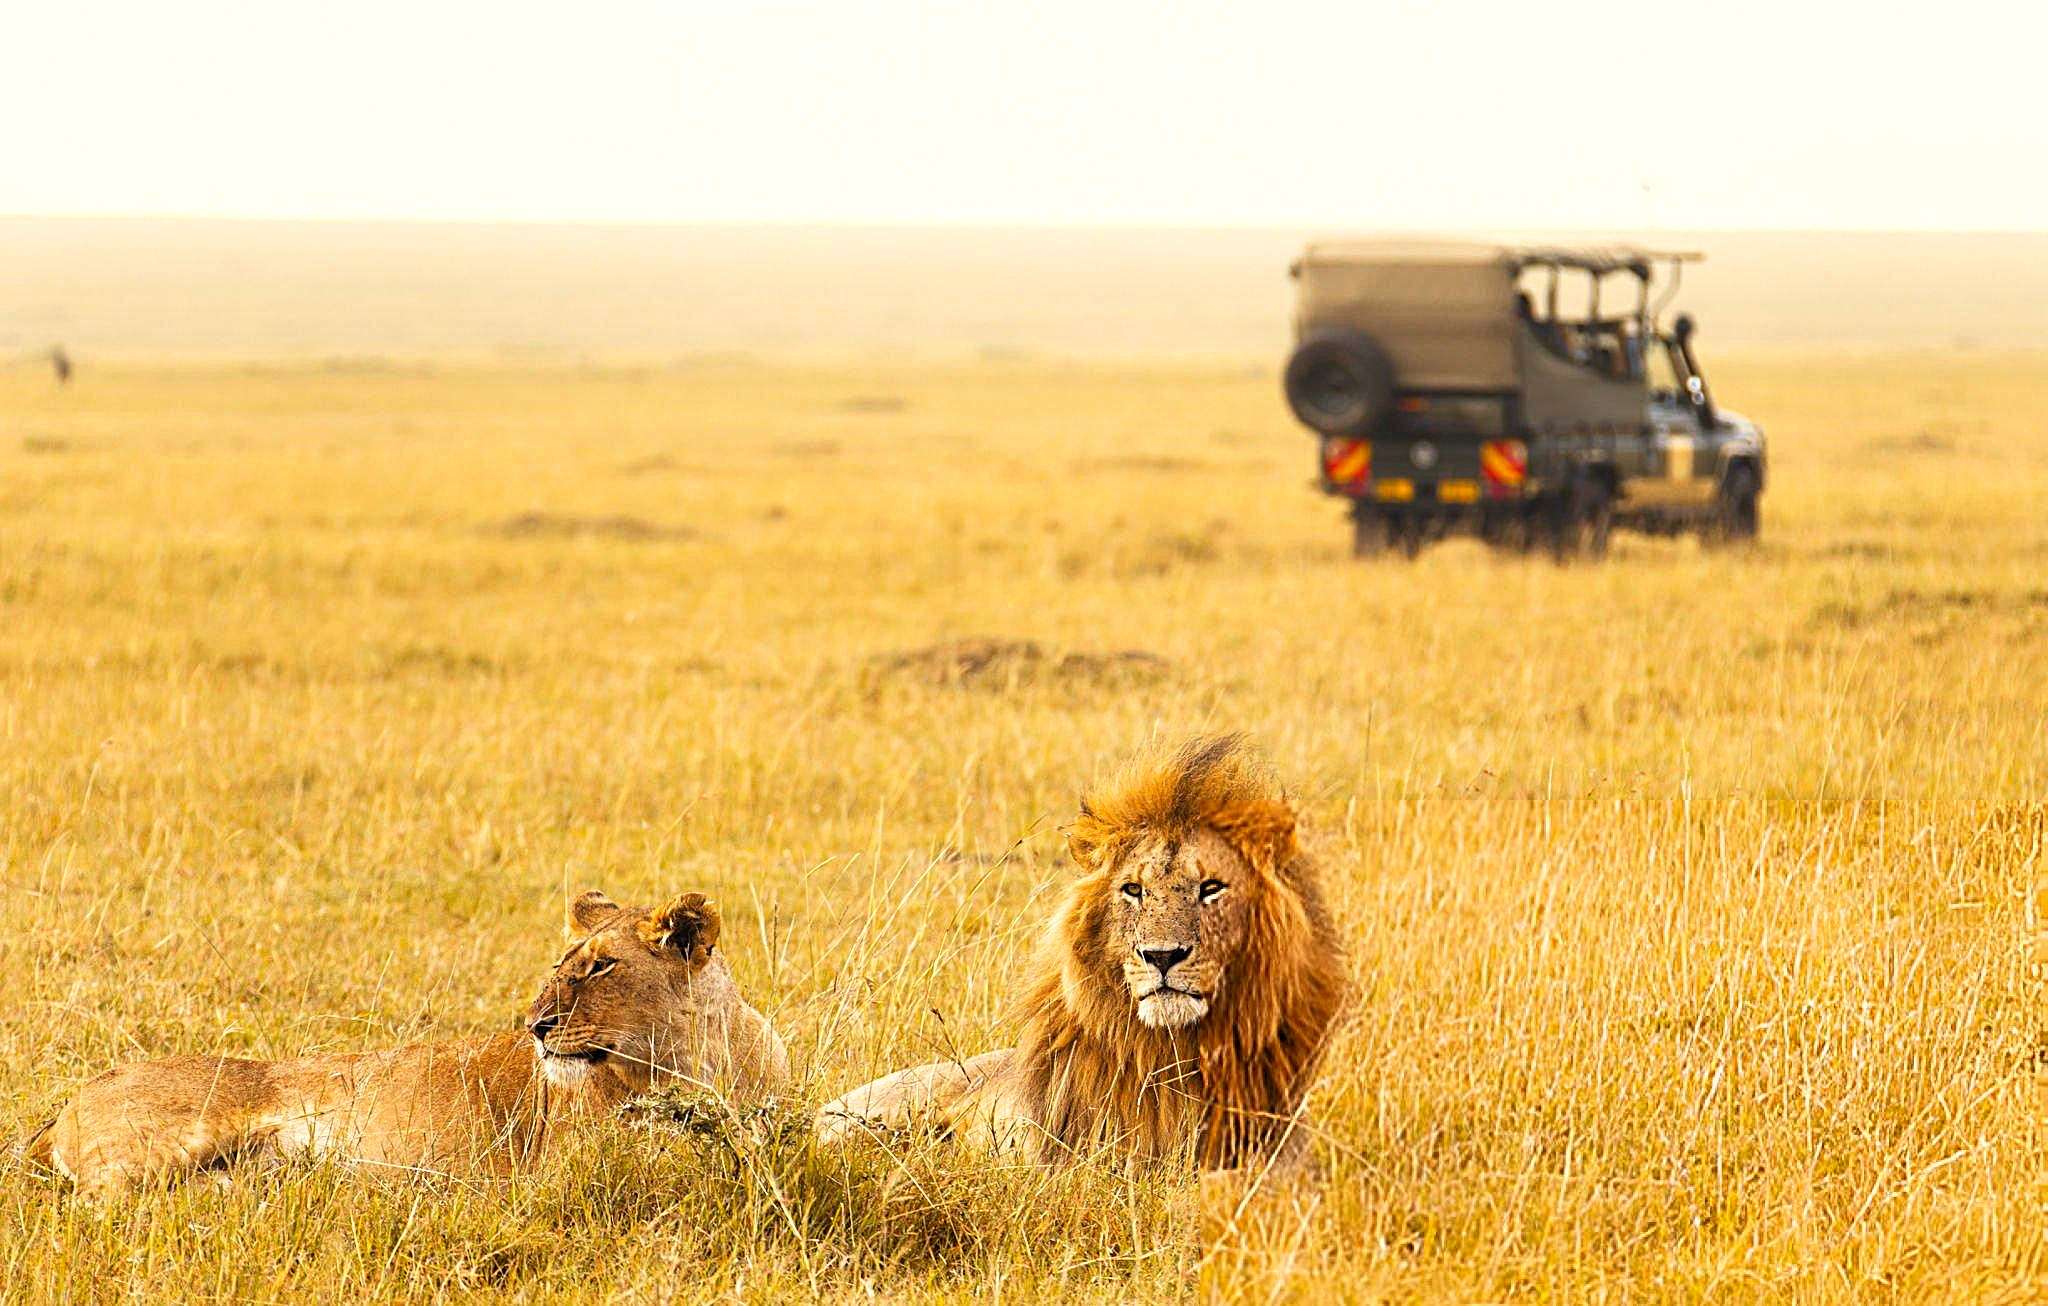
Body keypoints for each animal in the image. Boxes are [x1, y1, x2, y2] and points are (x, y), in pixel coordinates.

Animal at [25, 889, 788, 1196]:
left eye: (601, 967)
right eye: (563, 963)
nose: (536, 1026)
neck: (700, 1059)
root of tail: (66, 1106)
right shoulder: (571, 1167)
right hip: (157, 1146)